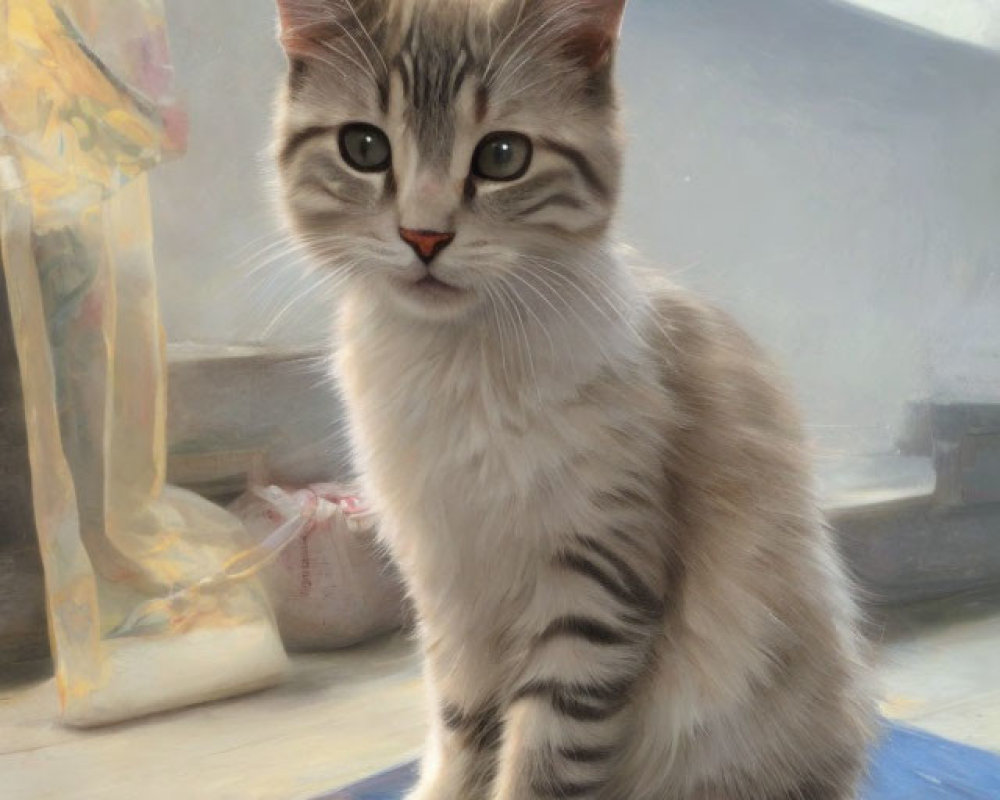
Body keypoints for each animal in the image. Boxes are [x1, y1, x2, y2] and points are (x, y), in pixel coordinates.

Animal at [274, 1, 876, 800]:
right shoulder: (448, 588)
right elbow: (462, 733)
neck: (454, 365)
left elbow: (541, 756)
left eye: (502, 157)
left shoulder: (593, 584)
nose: (424, 235)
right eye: (364, 148)